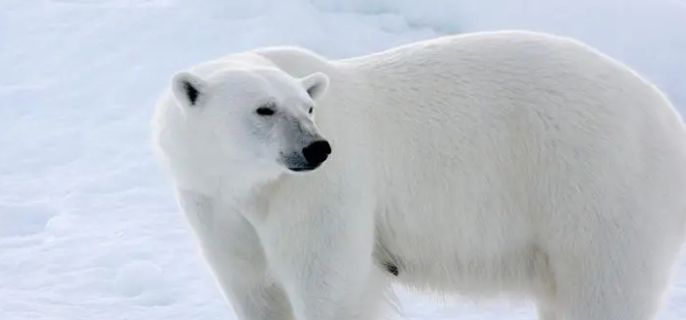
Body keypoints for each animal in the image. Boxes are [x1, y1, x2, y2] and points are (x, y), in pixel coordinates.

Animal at [153, 30, 686, 320]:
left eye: (308, 106)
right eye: (265, 109)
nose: (317, 147)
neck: (252, 185)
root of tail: (668, 117)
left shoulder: (321, 193)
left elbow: (328, 281)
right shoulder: (214, 203)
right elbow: (252, 285)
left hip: (598, 186)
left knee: (605, 290)